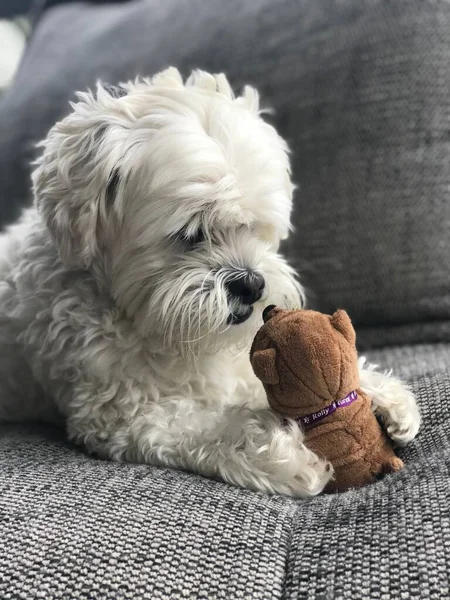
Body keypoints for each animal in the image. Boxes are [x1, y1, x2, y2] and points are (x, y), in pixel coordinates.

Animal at [0, 68, 420, 494]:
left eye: (255, 228)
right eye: (190, 234)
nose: (252, 285)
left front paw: (382, 392)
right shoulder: (119, 415)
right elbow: (206, 427)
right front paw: (283, 453)